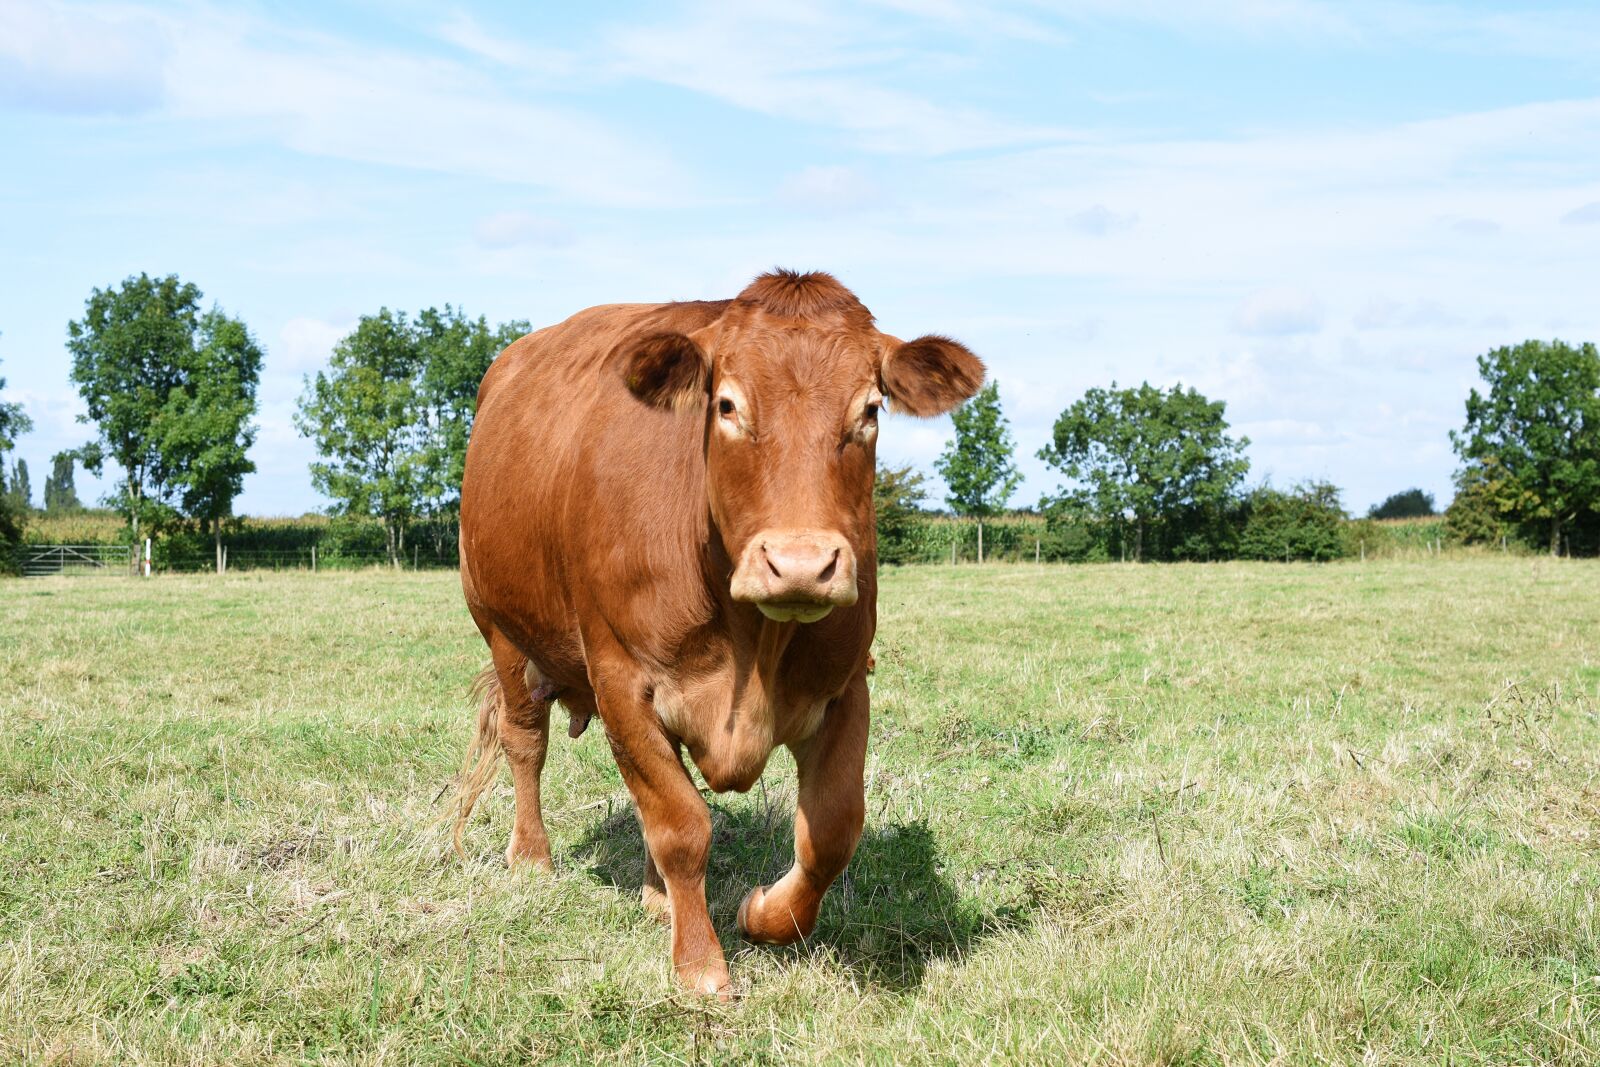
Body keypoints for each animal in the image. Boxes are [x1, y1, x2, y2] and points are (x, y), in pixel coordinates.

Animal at [452, 269, 983, 996]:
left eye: (871, 410)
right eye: (727, 405)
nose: (799, 563)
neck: (753, 640)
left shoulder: (847, 686)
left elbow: (832, 830)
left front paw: (763, 914)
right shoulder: (621, 679)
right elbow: (681, 825)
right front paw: (701, 965)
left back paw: (657, 898)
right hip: (503, 630)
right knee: (525, 741)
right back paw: (532, 856)